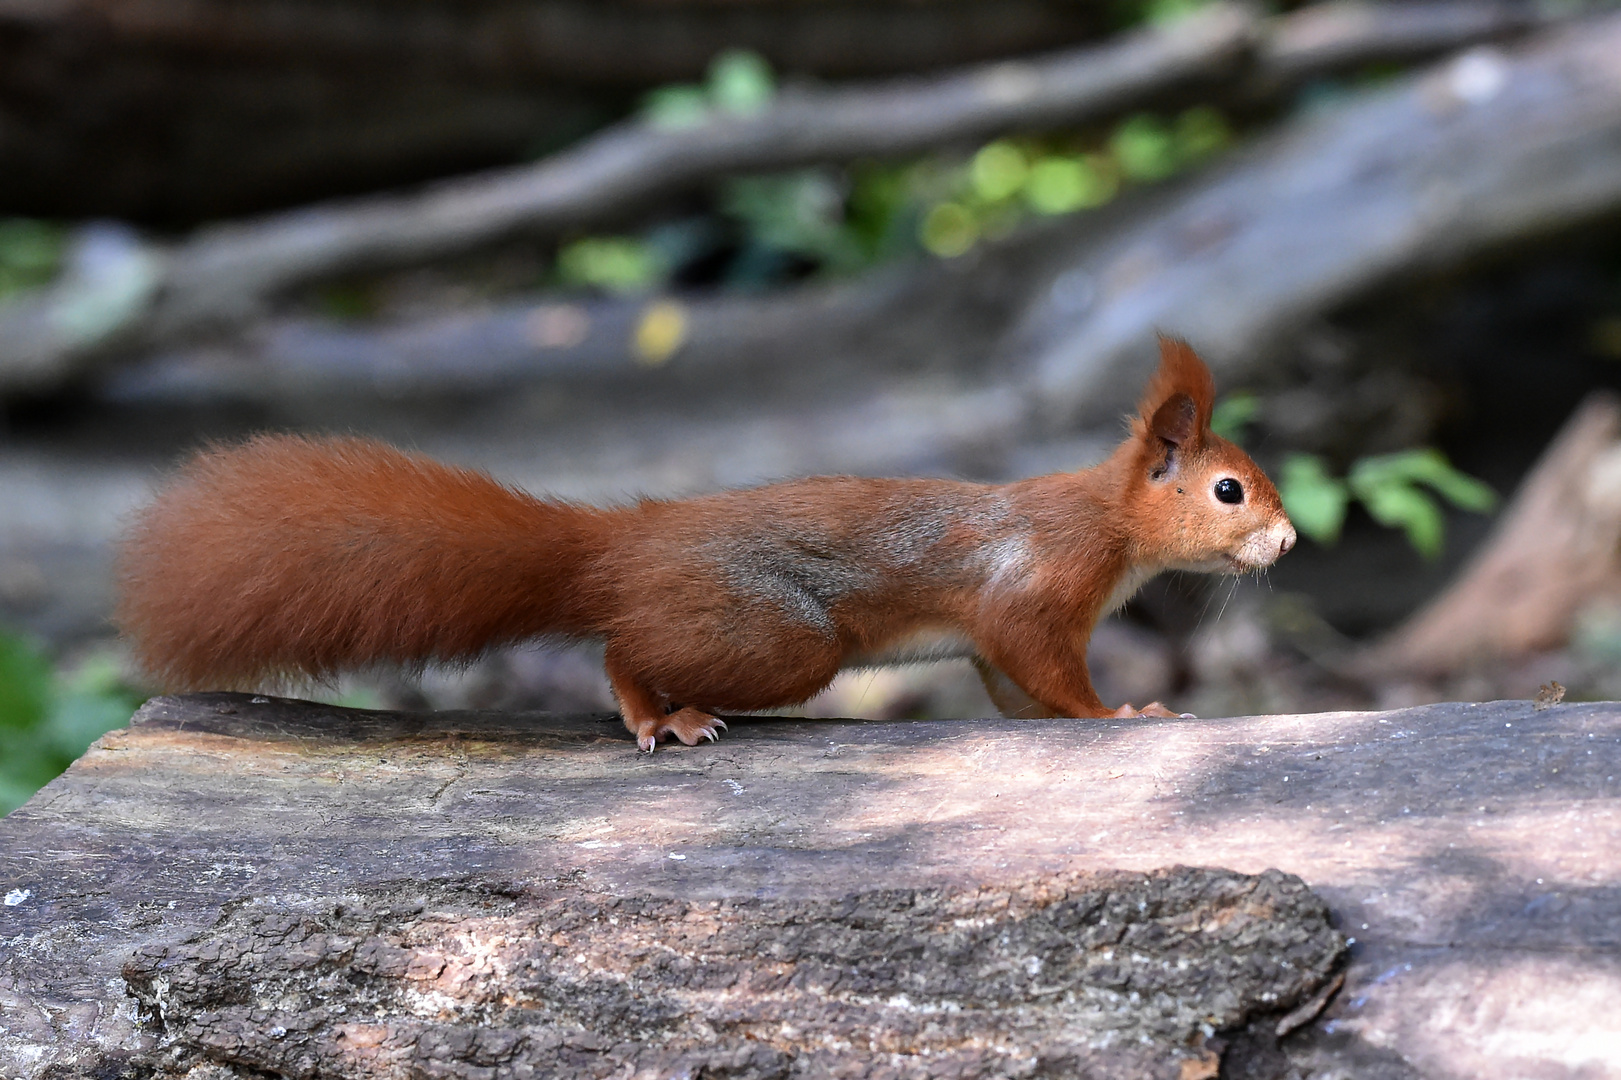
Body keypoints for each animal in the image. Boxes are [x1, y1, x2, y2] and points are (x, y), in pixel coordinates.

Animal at [117, 338, 1290, 749]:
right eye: (1228, 489)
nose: (1285, 539)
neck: (1109, 522)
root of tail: (612, 550)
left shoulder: (1003, 643)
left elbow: (1014, 692)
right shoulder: (1040, 584)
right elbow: (1050, 669)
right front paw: (1125, 714)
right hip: (778, 638)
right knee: (619, 651)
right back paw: (659, 717)